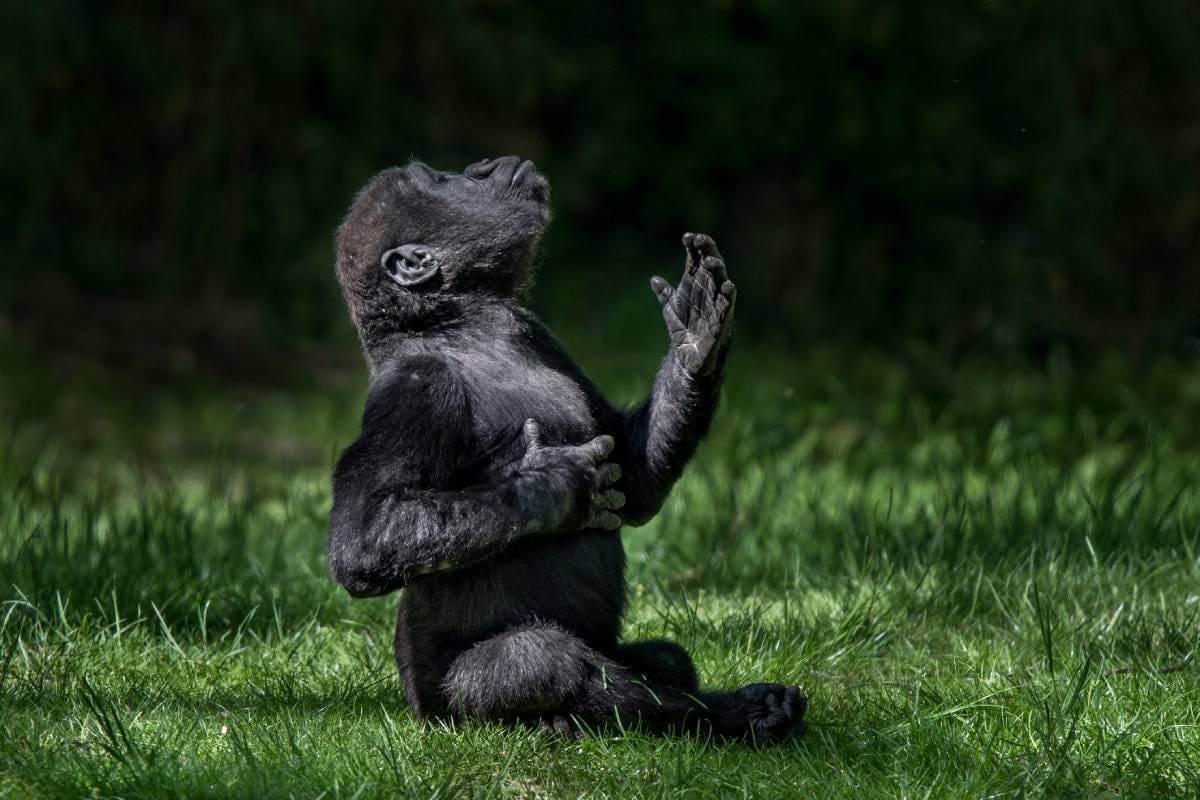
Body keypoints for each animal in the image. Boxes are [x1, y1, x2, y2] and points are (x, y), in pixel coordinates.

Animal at [327, 155, 805, 742]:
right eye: (442, 180)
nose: (482, 166)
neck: (461, 328)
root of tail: (415, 713)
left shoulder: (541, 335)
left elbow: (632, 477)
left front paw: (696, 342)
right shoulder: (416, 387)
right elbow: (364, 540)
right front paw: (554, 489)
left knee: (665, 661)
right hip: (445, 713)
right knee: (539, 660)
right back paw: (723, 715)